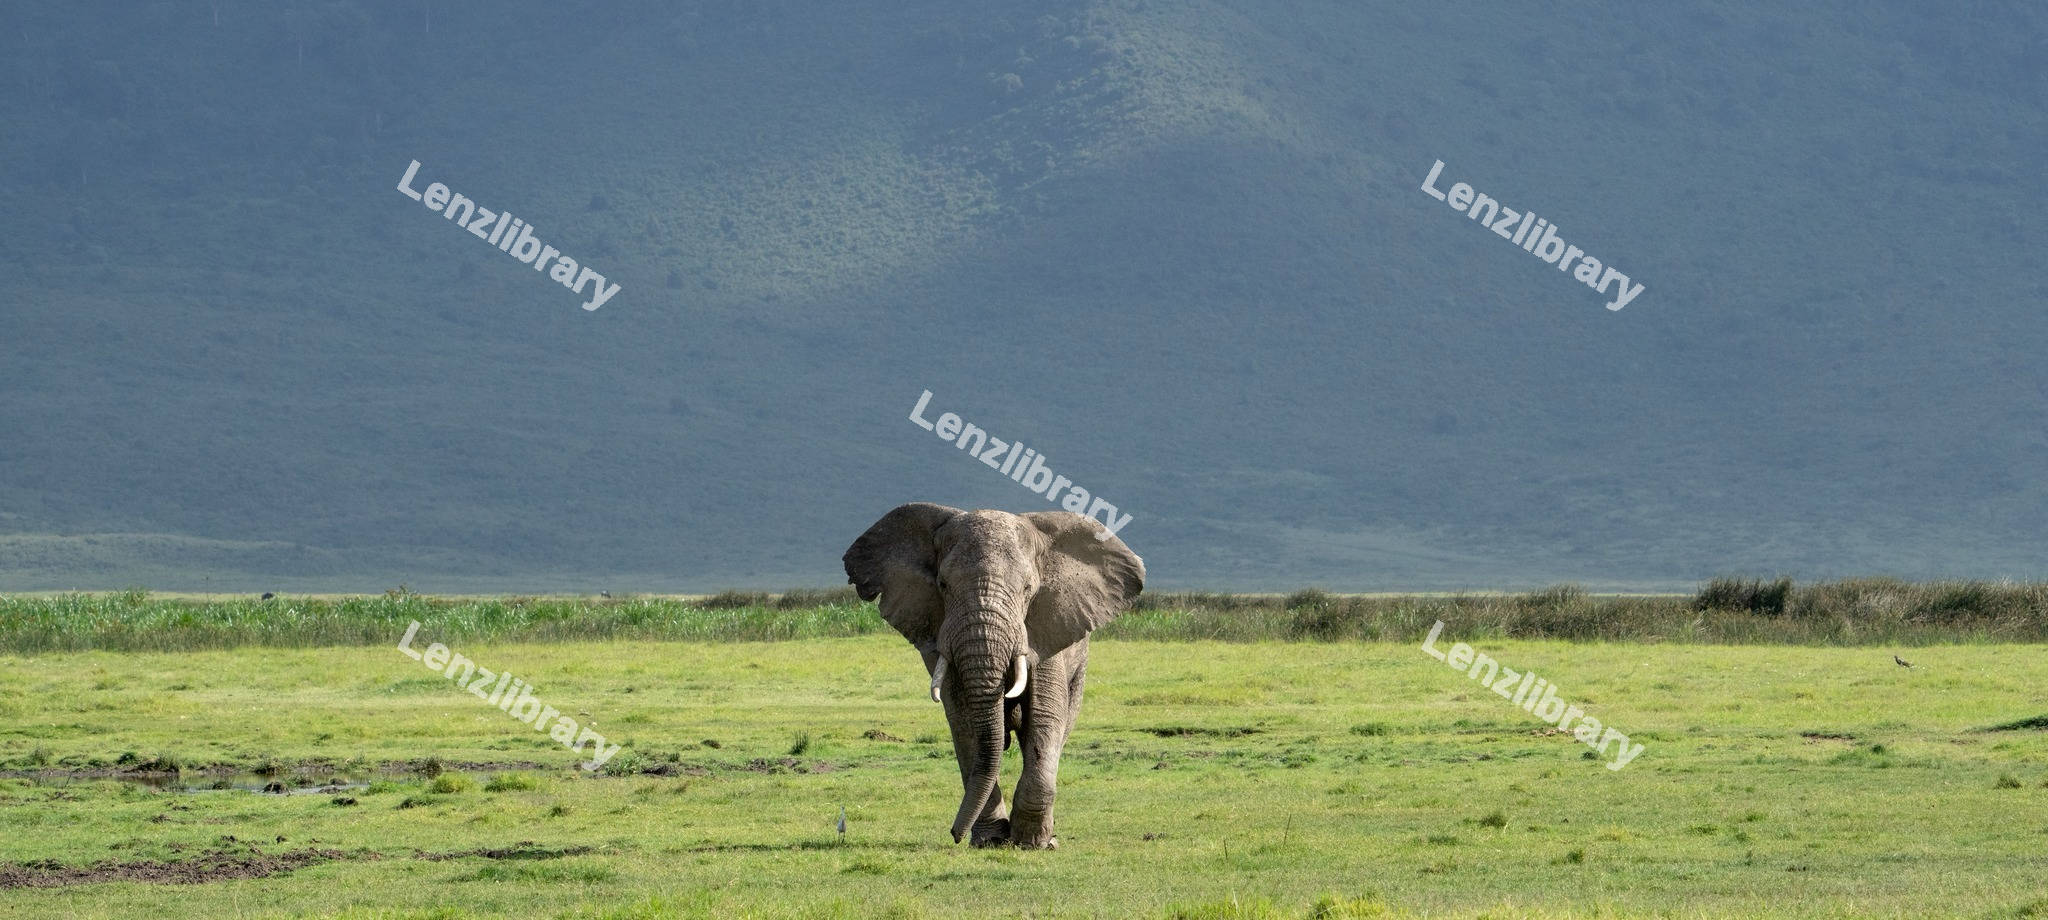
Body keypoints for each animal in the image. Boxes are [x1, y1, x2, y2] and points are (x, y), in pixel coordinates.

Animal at [843, 502, 1145, 849]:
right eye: (943, 585)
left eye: (1029, 589)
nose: (954, 834)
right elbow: (965, 723)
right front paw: (991, 840)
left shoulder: (1045, 627)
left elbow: (1045, 717)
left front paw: (1033, 843)